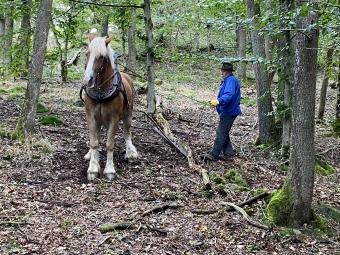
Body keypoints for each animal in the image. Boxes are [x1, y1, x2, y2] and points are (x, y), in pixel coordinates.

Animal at [83, 36, 137, 181]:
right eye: (87, 53)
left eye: (101, 57)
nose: (87, 80)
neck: (101, 92)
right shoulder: (91, 117)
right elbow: (94, 142)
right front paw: (93, 167)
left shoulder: (114, 119)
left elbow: (109, 144)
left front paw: (109, 170)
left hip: (128, 114)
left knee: (127, 132)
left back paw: (131, 152)